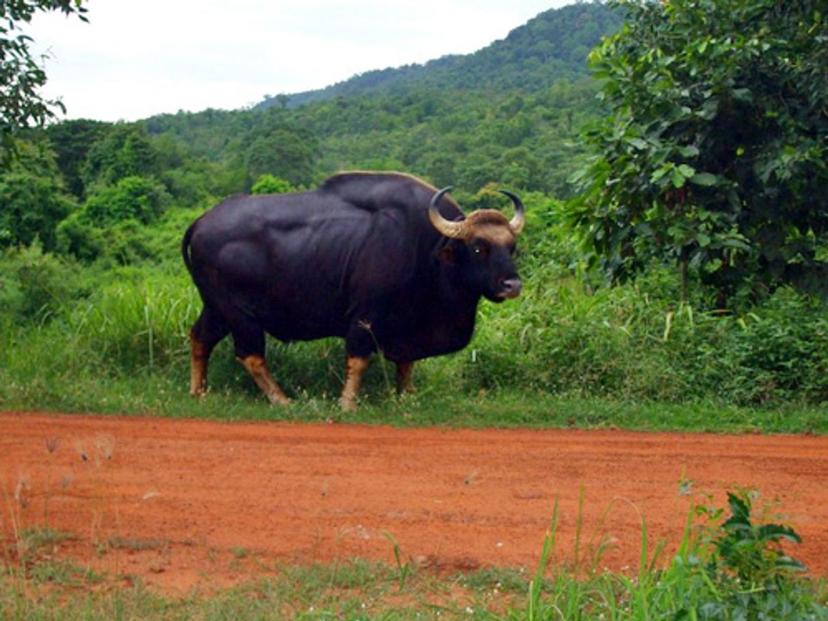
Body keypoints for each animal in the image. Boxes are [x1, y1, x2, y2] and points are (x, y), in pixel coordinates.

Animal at [181, 172, 524, 410]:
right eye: (478, 247)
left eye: (511, 247)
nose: (512, 285)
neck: (424, 248)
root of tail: (200, 222)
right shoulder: (364, 315)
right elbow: (358, 359)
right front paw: (347, 403)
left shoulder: (406, 326)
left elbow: (406, 362)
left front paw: (407, 395)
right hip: (239, 314)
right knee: (250, 355)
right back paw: (281, 399)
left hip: (216, 308)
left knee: (200, 337)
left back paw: (198, 391)